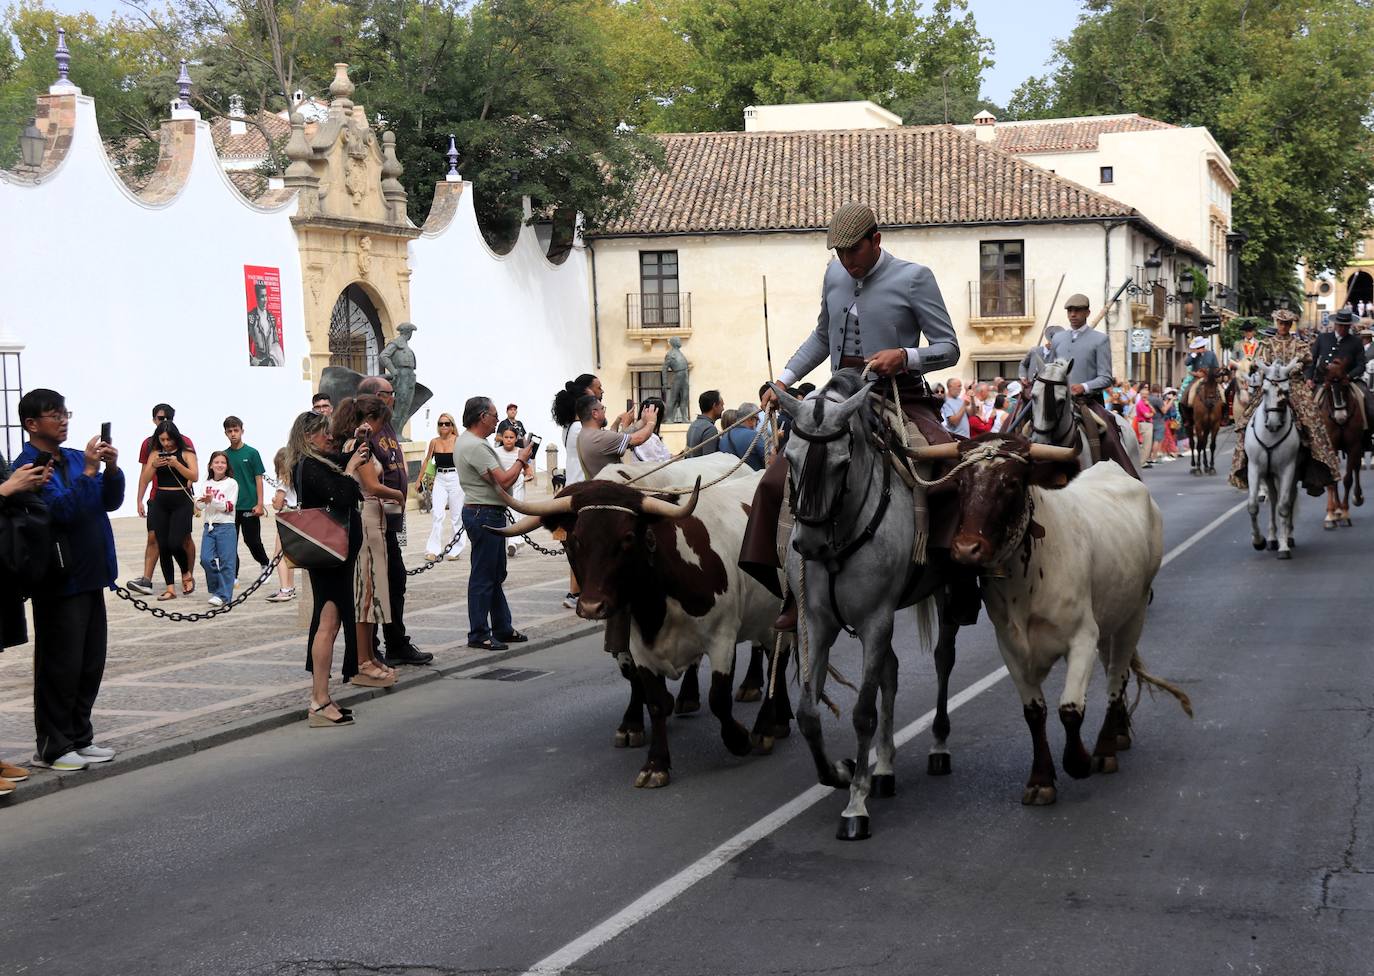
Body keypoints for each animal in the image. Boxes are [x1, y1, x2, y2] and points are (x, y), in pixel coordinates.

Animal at [774, 371, 967, 846]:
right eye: (790, 456)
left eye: (841, 462)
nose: (807, 545)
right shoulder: (815, 622)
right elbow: (808, 714)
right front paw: (841, 772)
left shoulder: (875, 619)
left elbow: (863, 712)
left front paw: (855, 804)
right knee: (891, 672)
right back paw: (884, 767)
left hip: (944, 595)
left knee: (943, 659)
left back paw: (937, 746)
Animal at [906, 439, 1187, 808]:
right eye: (960, 484)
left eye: (1011, 483)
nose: (966, 549)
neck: (1027, 580)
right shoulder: (1010, 646)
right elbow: (1034, 713)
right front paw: (1040, 779)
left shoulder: (1082, 637)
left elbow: (1070, 708)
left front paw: (1078, 762)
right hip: (1110, 617)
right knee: (1115, 670)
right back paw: (1119, 732)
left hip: (1134, 613)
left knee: (1117, 676)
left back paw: (1106, 747)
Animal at [1247, 360, 1297, 560]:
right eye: (1265, 390)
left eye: (1287, 391)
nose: (1274, 423)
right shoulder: (1254, 468)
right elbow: (1253, 505)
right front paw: (1258, 541)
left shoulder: (1288, 469)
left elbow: (1284, 506)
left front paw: (1284, 547)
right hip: (1268, 474)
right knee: (1273, 499)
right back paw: (1271, 539)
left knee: (1289, 499)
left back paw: (1287, 536)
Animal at [1319, 360, 1363, 527]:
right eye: (1327, 387)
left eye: (1345, 385)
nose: (1341, 417)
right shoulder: (1329, 446)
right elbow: (1332, 479)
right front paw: (1332, 513)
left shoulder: (1354, 446)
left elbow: (1348, 479)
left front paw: (1344, 511)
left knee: (1356, 467)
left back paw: (1357, 498)